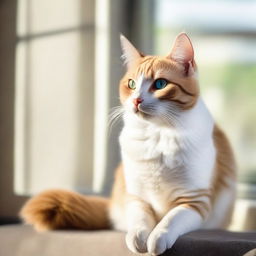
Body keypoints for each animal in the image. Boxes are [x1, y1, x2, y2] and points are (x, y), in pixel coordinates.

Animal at [20, 33, 236, 255]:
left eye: (160, 84)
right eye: (132, 84)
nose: (136, 100)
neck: (157, 135)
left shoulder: (194, 201)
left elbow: (170, 220)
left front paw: (157, 238)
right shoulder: (136, 197)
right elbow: (139, 221)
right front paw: (137, 238)